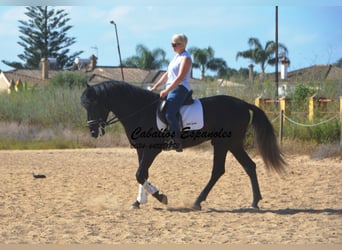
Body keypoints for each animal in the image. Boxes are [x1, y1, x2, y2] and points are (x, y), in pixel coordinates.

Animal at [81, 81, 286, 210]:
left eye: (94, 104)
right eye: (85, 106)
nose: (93, 132)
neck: (141, 110)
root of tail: (243, 103)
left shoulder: (152, 150)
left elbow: (139, 174)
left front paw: (160, 197)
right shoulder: (141, 149)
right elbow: (142, 174)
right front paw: (138, 202)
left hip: (224, 143)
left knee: (219, 170)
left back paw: (197, 202)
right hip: (232, 144)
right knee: (248, 166)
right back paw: (254, 201)